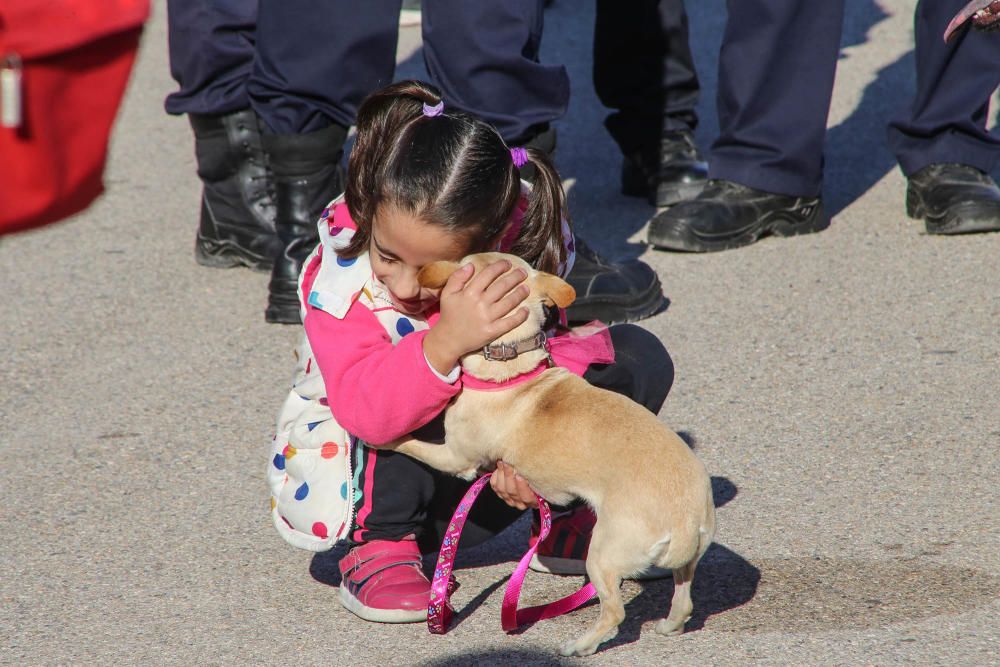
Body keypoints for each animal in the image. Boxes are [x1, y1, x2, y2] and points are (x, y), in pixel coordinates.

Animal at [386, 252, 716, 656]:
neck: (509, 363)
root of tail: (686, 518)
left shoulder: (456, 459)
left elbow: (411, 443)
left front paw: (383, 440)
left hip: (603, 556)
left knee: (614, 612)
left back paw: (581, 645)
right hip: (683, 561)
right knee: (684, 596)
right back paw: (669, 625)